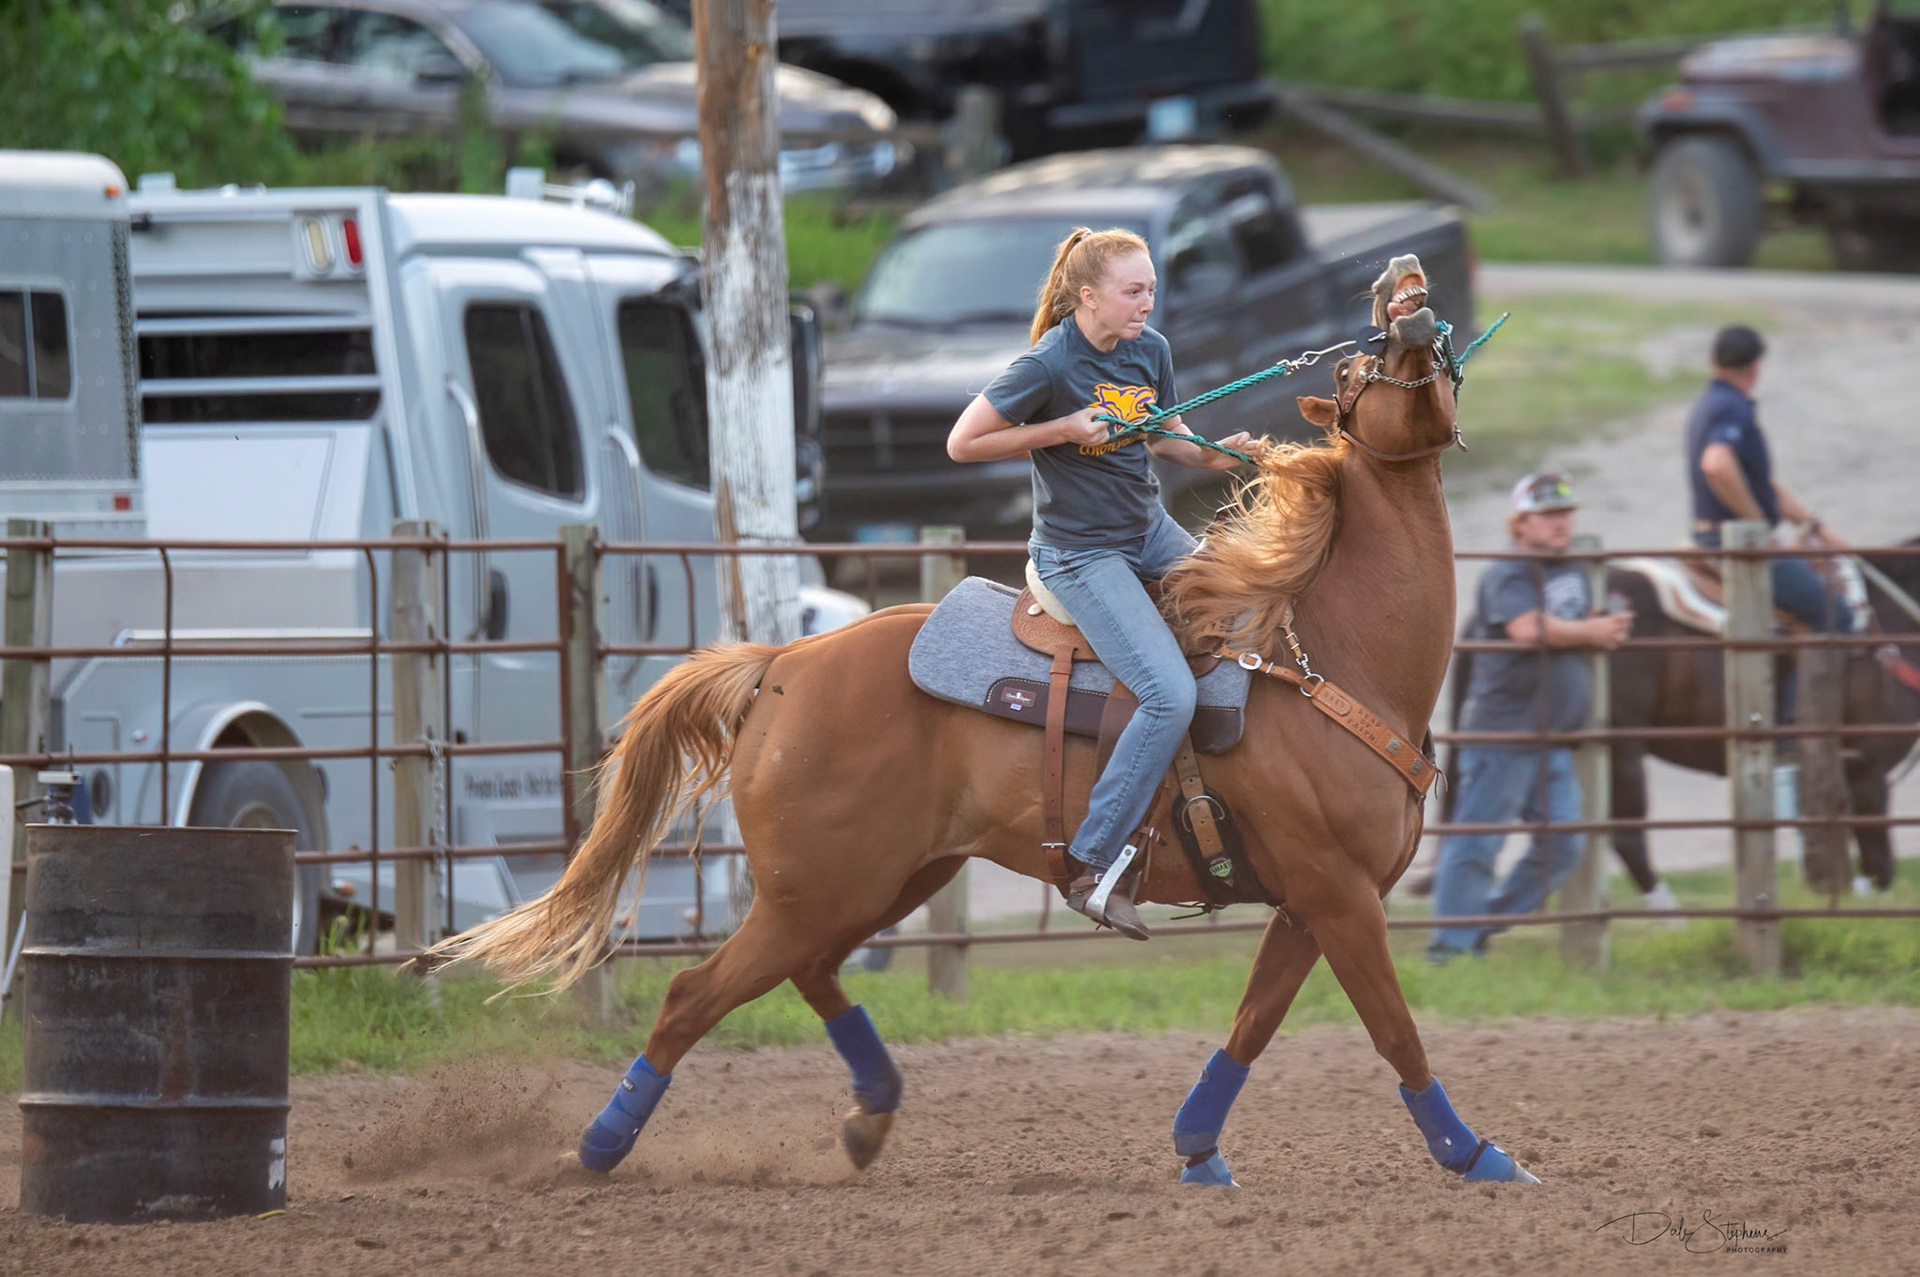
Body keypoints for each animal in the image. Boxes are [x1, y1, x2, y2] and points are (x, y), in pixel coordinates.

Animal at [431, 255, 1542, 1189]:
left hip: (879, 878)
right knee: (692, 995)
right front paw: (1479, 1155)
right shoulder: (1338, 893)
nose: (1405, 280)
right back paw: (598, 1147)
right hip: (823, 882)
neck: (1324, 661)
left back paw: (869, 1114)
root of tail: (784, 664)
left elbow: (1251, 1024)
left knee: (805, 970)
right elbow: (1393, 1029)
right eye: (1358, 365)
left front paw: (1198, 1151)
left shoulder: (1310, 900)